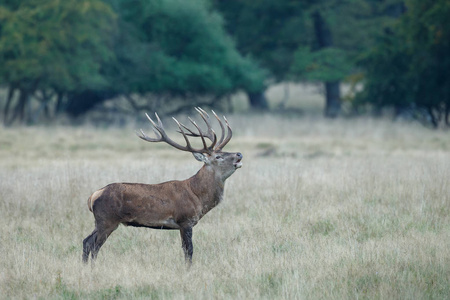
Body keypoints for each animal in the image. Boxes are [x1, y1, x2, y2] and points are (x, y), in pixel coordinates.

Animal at [81, 107, 243, 264]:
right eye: (218, 157)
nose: (239, 154)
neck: (198, 196)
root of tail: (92, 196)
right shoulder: (185, 220)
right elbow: (188, 251)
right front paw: (188, 269)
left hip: (101, 221)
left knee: (86, 241)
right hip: (107, 220)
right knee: (93, 245)